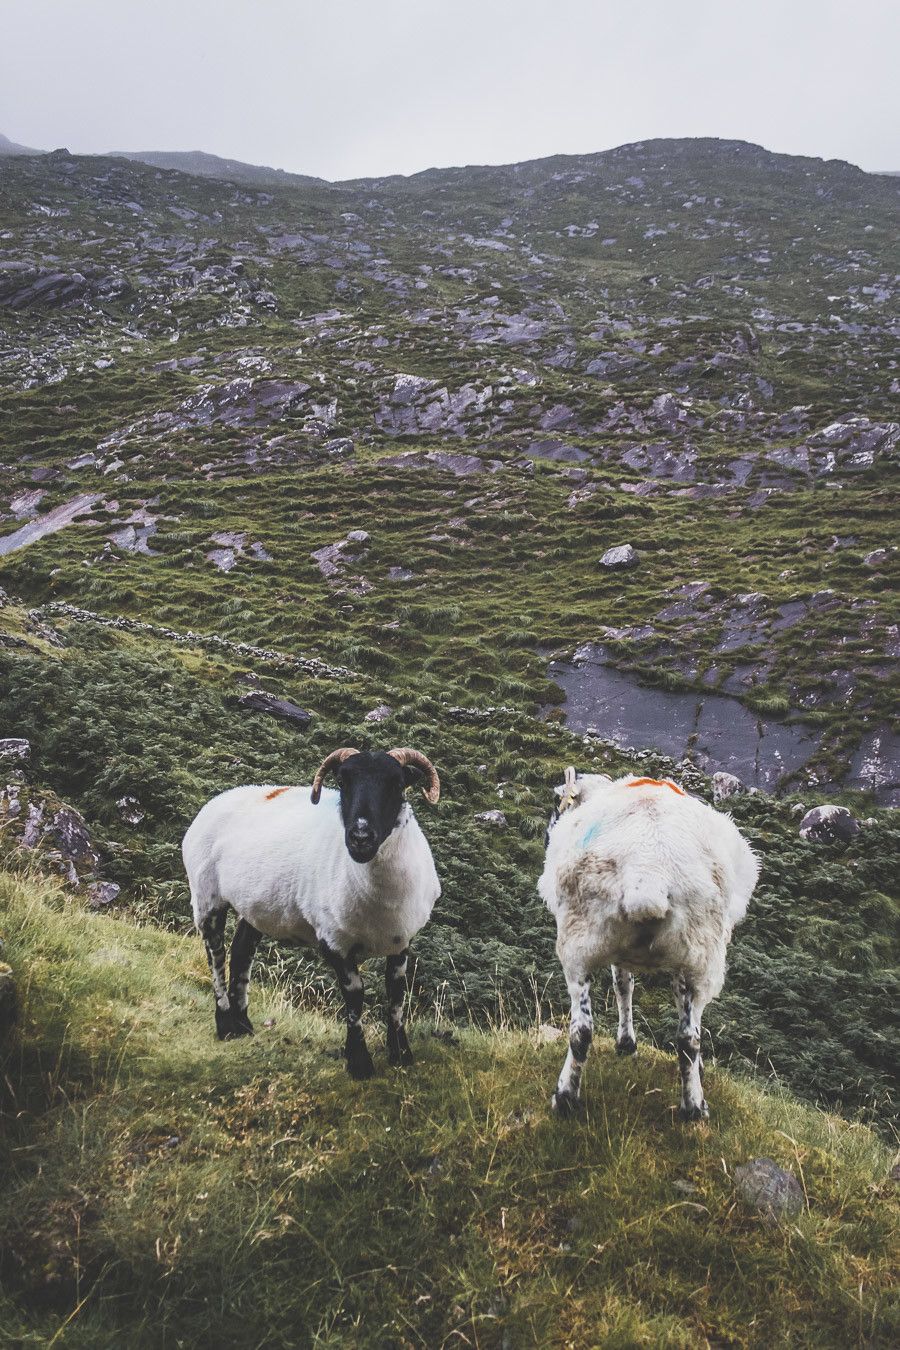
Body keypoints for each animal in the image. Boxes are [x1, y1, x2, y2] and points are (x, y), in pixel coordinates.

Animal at [180, 745, 442, 1080]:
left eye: (397, 784)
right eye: (342, 781)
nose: (360, 837)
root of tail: (217, 799)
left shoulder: (402, 940)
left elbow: (395, 994)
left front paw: (401, 1055)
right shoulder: (333, 940)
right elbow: (355, 995)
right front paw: (359, 1062)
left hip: (255, 905)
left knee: (241, 952)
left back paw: (243, 1025)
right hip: (206, 896)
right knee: (215, 955)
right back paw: (225, 1023)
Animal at [539, 772, 755, 1117]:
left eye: (555, 799)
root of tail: (647, 872)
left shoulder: (621, 955)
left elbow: (622, 986)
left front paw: (626, 1043)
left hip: (581, 940)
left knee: (582, 1029)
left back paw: (565, 1097)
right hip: (698, 952)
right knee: (687, 1037)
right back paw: (694, 1106)